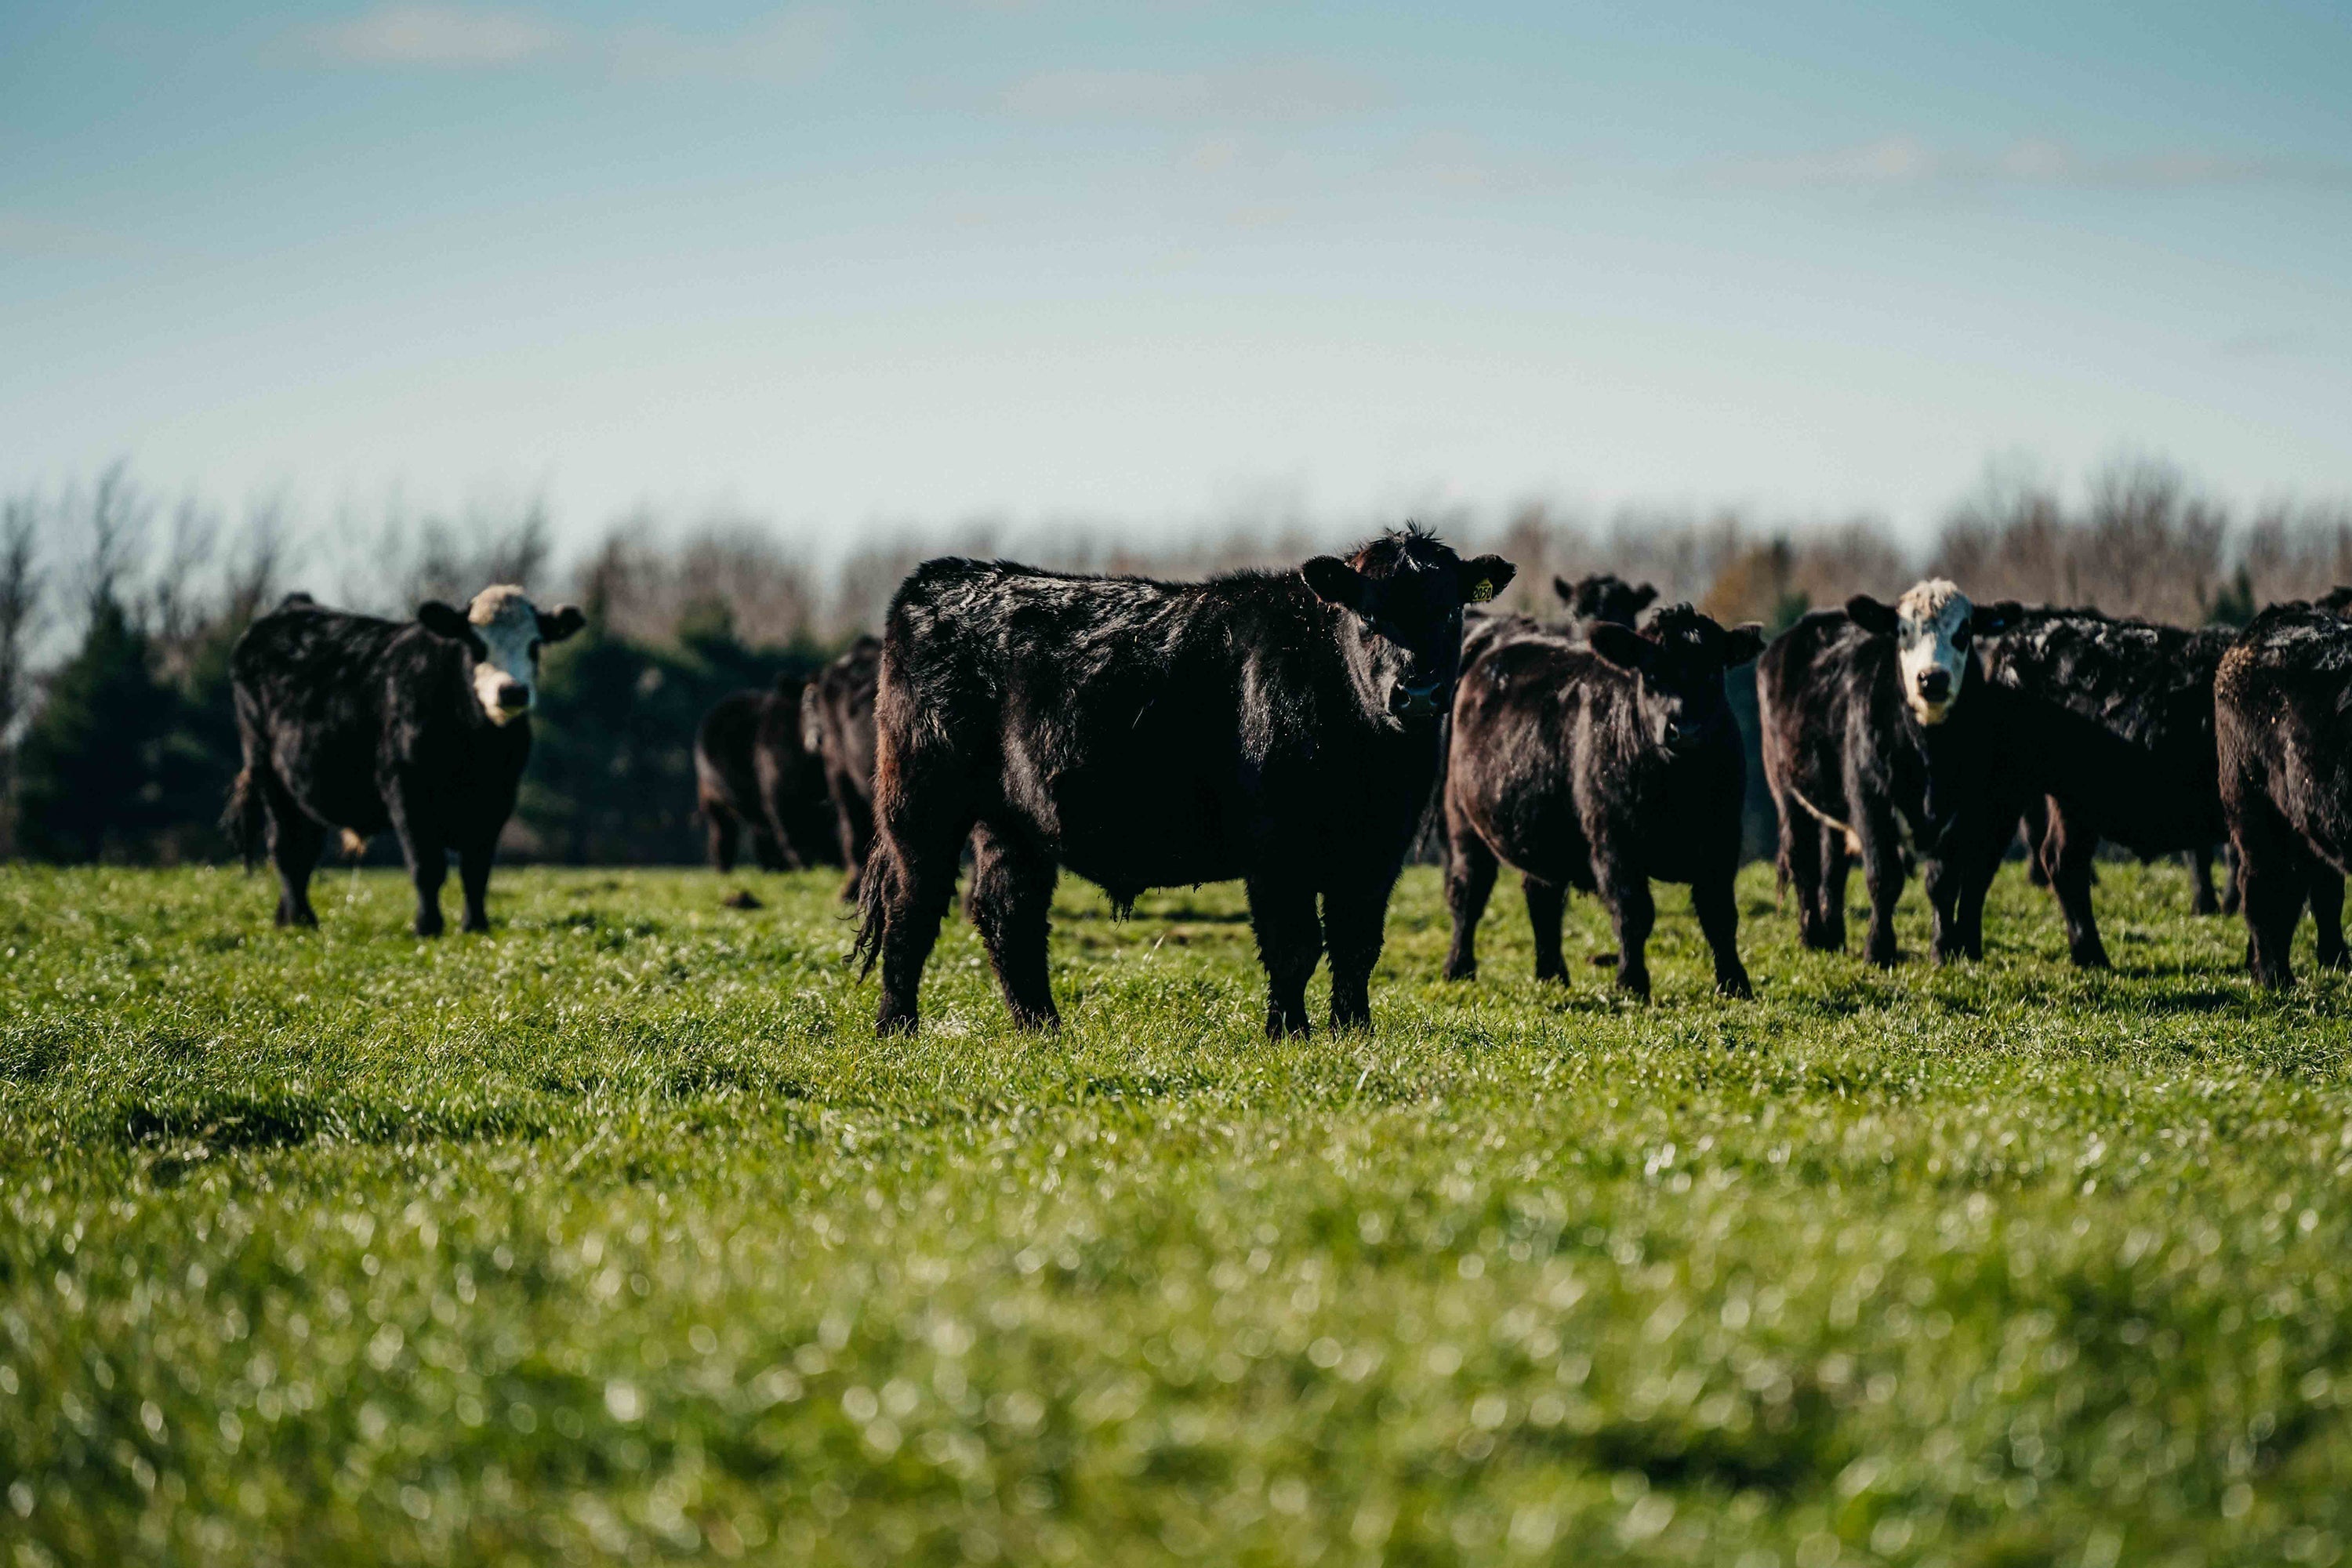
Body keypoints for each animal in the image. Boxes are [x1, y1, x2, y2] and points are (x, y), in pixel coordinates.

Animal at [222, 586, 585, 935]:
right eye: (475, 643)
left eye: (535, 644)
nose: (512, 691)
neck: (477, 742)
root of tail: (295, 606)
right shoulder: (407, 793)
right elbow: (427, 867)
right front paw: (428, 927)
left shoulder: (497, 801)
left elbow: (476, 870)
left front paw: (475, 925)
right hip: (268, 773)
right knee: (286, 849)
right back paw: (303, 921)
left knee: (305, 849)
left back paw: (288, 919)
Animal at [693, 678, 838, 874]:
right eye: (808, 704)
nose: (819, 737)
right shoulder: (780, 792)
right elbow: (794, 831)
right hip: (718, 801)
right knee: (726, 835)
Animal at [852, 528, 1513, 1037]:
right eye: (1369, 615)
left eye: (1450, 610)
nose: (1418, 693)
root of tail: (941, 578)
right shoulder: (1277, 850)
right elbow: (1294, 944)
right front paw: (1289, 1033)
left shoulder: (1378, 851)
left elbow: (1356, 945)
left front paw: (1354, 1031)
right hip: (921, 806)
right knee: (913, 910)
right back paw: (897, 1029)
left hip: (1014, 822)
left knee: (1007, 915)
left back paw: (1043, 1029)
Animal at [1441, 604, 1764, 998]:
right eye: (1650, 674)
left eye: (1714, 673)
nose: (1684, 730)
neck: (1676, 787)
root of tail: (1504, 629)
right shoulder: (1614, 842)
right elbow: (1634, 913)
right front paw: (1631, 983)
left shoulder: (1722, 841)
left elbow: (1719, 915)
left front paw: (1735, 983)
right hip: (1462, 819)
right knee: (1467, 893)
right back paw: (1459, 968)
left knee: (1542, 898)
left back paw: (1552, 975)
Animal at [1757, 581, 2018, 968]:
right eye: (1903, 631)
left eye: (1964, 632)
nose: (1932, 678)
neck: (1930, 755)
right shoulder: (1870, 801)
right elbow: (1884, 878)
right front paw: (1879, 950)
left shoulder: (1960, 809)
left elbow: (1942, 883)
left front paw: (1943, 950)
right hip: (1788, 793)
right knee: (1803, 861)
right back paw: (1813, 936)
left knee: (1833, 867)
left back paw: (1834, 936)